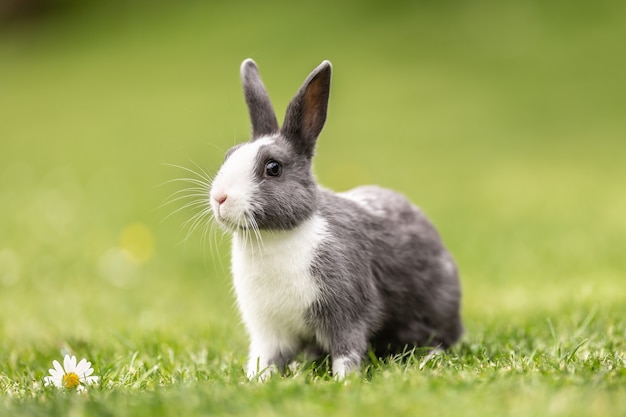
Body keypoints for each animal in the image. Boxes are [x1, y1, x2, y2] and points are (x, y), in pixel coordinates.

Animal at [207, 58, 460, 380]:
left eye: (273, 168)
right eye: (229, 155)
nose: (219, 198)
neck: (275, 236)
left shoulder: (346, 313)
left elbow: (347, 351)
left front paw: (343, 382)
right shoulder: (269, 331)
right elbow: (265, 359)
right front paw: (255, 381)